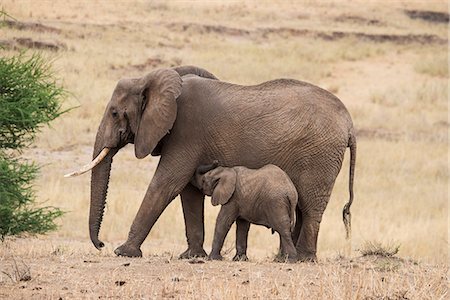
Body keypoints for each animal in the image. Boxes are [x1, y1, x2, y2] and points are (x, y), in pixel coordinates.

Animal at [67, 65, 356, 260]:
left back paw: (303, 259)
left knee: (310, 207)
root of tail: (349, 123)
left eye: (115, 113)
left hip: (320, 156)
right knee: (300, 207)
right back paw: (284, 259)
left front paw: (124, 252)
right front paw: (192, 256)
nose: (101, 244)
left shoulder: (186, 132)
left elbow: (167, 184)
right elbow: (188, 192)